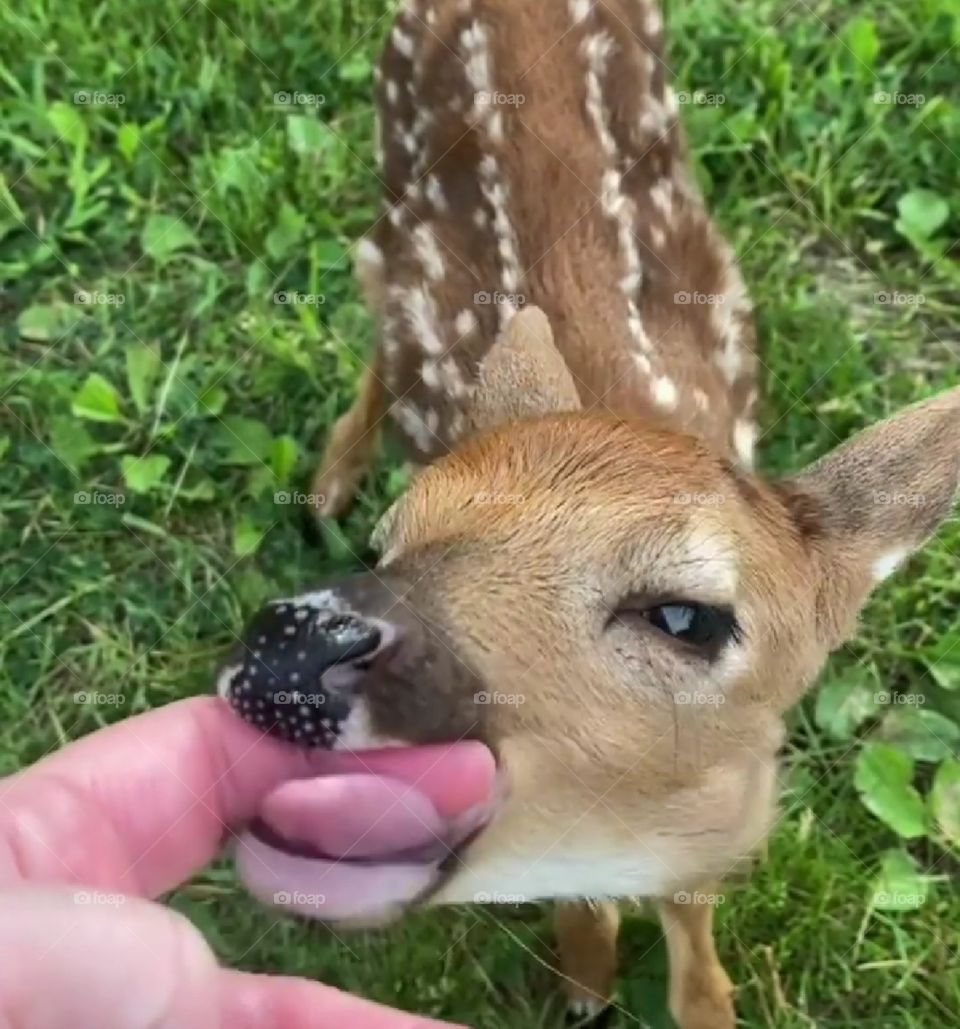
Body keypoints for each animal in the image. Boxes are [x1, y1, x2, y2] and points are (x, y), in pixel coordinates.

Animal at [218, 1, 960, 1025]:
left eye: (687, 615)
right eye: (389, 541)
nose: (294, 644)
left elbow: (694, 936)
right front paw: (584, 982)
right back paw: (326, 479)